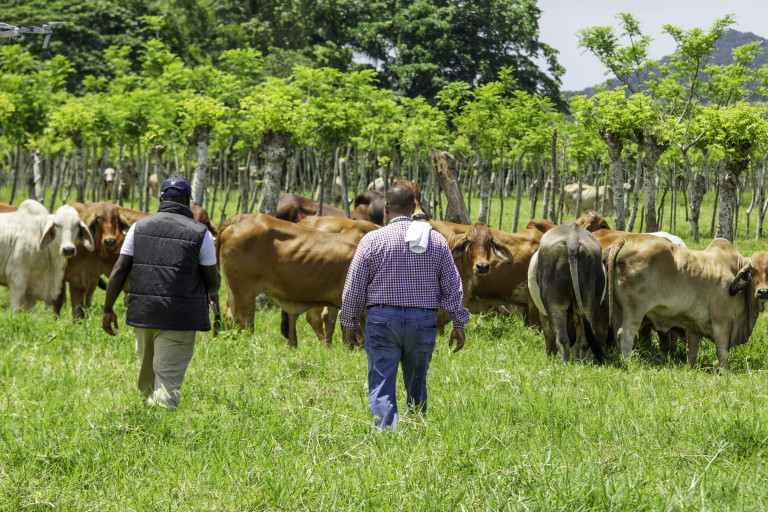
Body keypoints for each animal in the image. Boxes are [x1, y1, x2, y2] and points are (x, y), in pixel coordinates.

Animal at [528, 222, 605, 363]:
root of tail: (572, 240)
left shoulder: (543, 313)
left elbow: (549, 337)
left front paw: (549, 357)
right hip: (590, 302)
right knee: (585, 340)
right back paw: (584, 363)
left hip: (553, 302)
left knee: (562, 338)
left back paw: (563, 362)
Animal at [605, 236, 768, 369]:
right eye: (752, 270)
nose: (763, 292)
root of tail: (624, 240)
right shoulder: (723, 320)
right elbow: (723, 350)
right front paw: (725, 372)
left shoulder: (694, 326)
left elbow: (691, 351)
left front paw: (689, 369)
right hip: (635, 309)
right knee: (625, 334)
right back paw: (628, 363)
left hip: (618, 309)